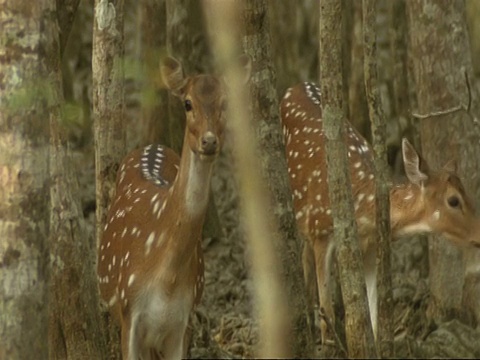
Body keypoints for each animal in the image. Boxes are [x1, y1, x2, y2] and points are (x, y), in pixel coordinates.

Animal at [280, 81, 480, 344]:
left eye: (469, 193)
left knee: (304, 254)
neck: (363, 210)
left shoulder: (371, 246)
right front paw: (328, 343)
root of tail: (295, 86)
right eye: (454, 200)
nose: (479, 234)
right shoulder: (321, 231)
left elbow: (374, 320)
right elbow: (329, 315)